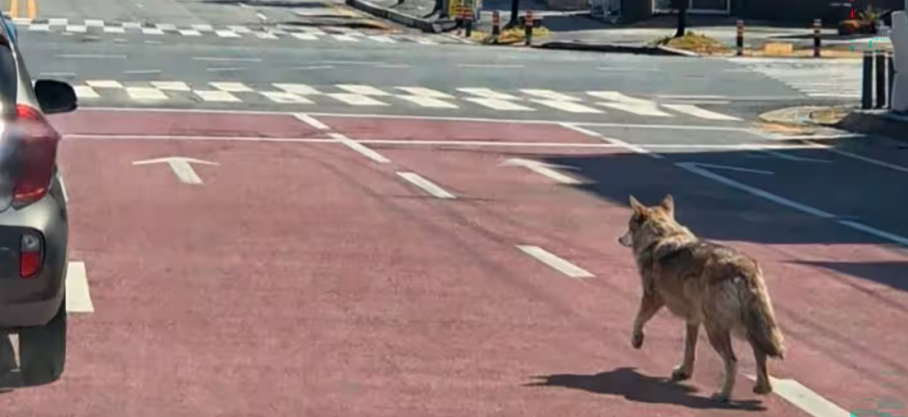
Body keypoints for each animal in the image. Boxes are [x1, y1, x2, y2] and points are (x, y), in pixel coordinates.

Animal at [617, 194, 786, 402]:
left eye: (629, 225)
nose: (619, 239)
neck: (661, 237)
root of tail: (744, 268)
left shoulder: (652, 298)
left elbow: (638, 320)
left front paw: (637, 341)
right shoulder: (693, 319)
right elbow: (689, 350)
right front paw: (684, 372)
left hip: (715, 330)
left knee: (733, 362)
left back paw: (723, 395)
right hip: (744, 328)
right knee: (760, 353)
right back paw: (762, 388)